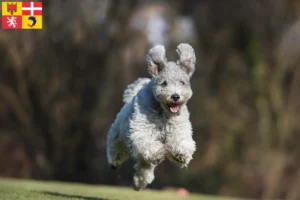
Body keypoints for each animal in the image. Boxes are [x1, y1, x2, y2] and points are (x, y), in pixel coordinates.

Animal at [106, 43, 197, 191]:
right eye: (164, 83)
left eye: (182, 82)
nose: (175, 96)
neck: (163, 112)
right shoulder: (142, 129)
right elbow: (148, 141)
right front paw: (160, 152)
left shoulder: (179, 127)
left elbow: (181, 140)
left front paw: (181, 154)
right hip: (118, 136)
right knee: (116, 148)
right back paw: (114, 162)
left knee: (144, 168)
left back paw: (138, 183)